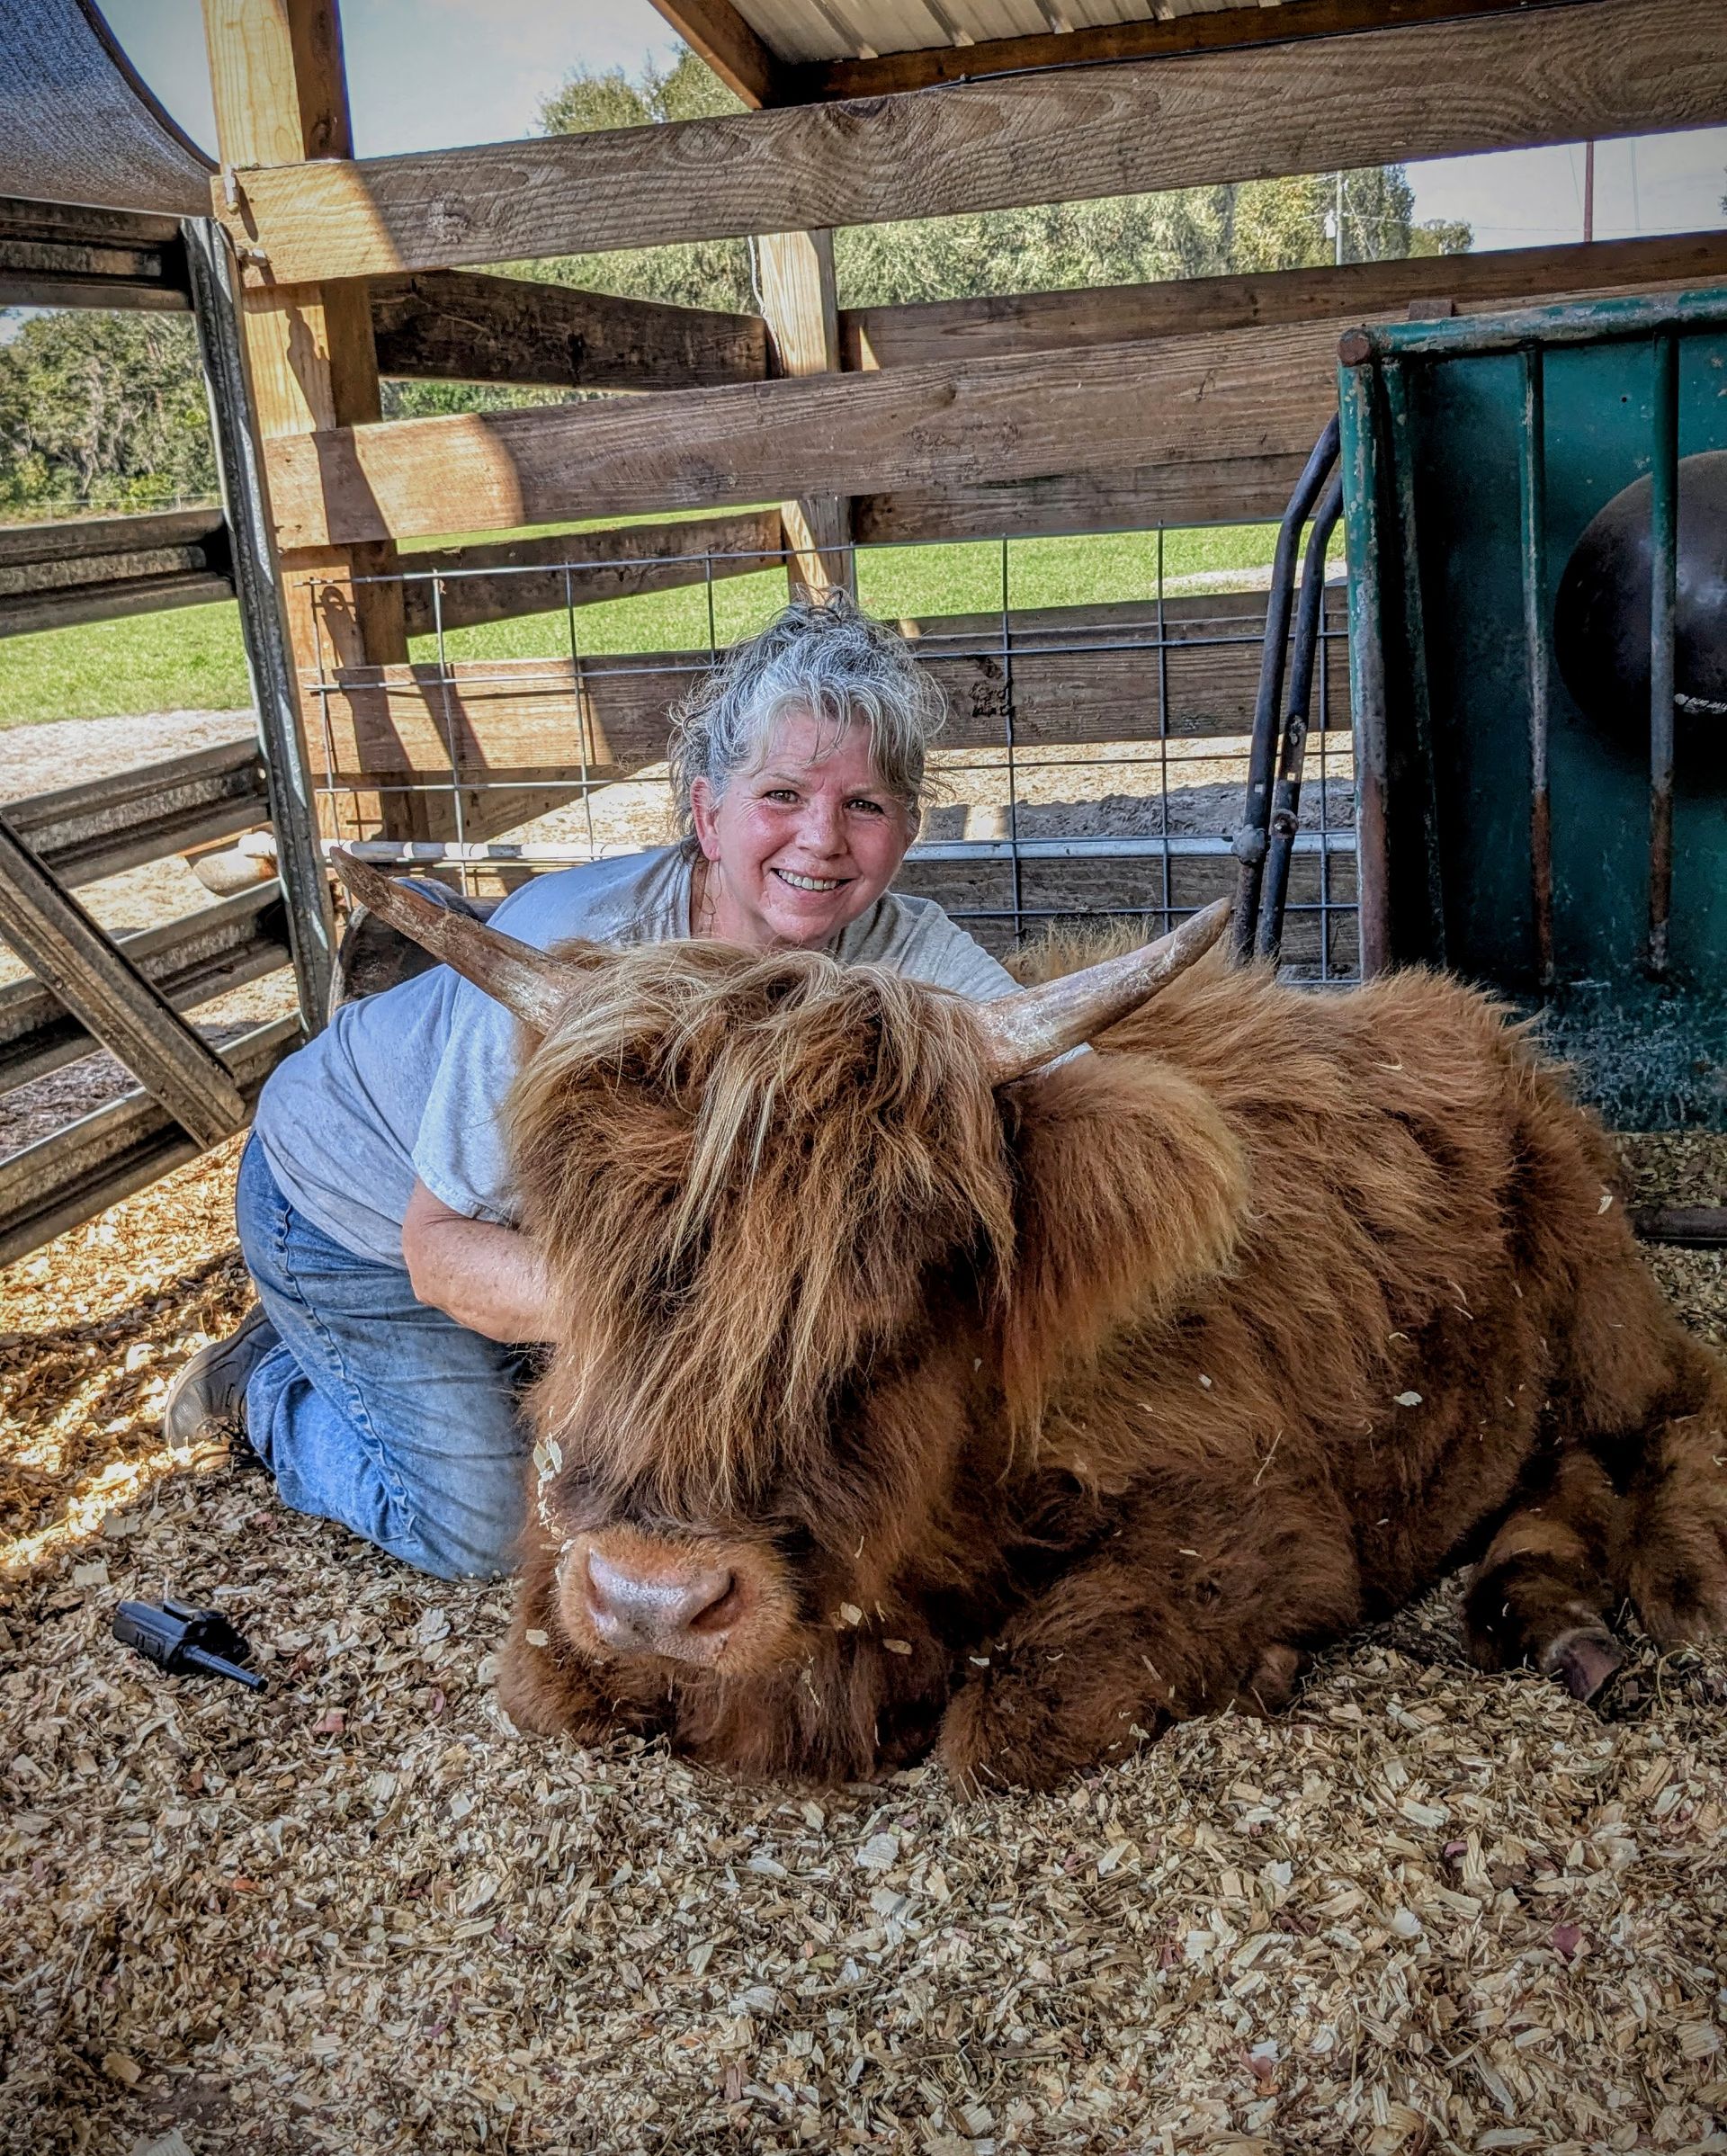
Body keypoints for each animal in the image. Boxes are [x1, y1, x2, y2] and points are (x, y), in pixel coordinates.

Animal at [335, 853, 1727, 1791]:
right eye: (580, 1229)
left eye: (900, 1259)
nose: (657, 1597)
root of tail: (1475, 1019)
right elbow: (545, 1679)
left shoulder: (1264, 1523)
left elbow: (1010, 1713)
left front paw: (1263, 1668)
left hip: (1606, 1316)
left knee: (1671, 1409)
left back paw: (1670, 1589)